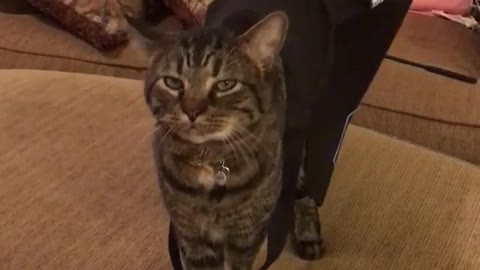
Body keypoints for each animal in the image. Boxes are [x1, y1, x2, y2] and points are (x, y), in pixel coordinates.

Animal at [129, 7, 322, 268]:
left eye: (226, 84)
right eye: (172, 82)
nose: (192, 111)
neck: (209, 160)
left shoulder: (246, 237)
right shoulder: (191, 237)